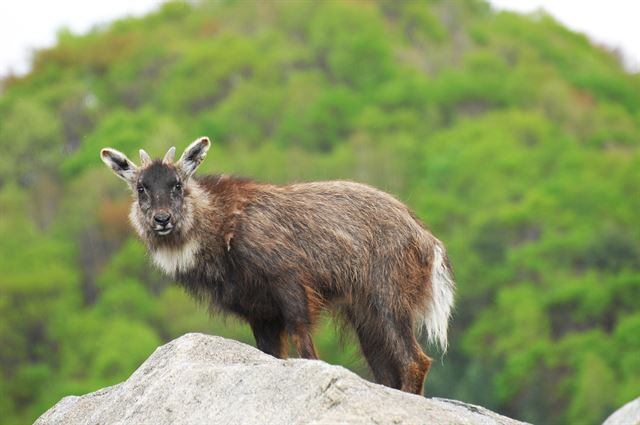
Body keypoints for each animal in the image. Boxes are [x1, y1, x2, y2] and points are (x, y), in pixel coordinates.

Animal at [100, 137, 456, 392]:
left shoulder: (290, 284)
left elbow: (307, 350)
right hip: (366, 316)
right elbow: (272, 355)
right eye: (141, 188)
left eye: (177, 184)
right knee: (389, 372)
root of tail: (428, 240)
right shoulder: (260, 311)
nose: (162, 220)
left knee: (416, 362)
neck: (225, 225)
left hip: (388, 301)